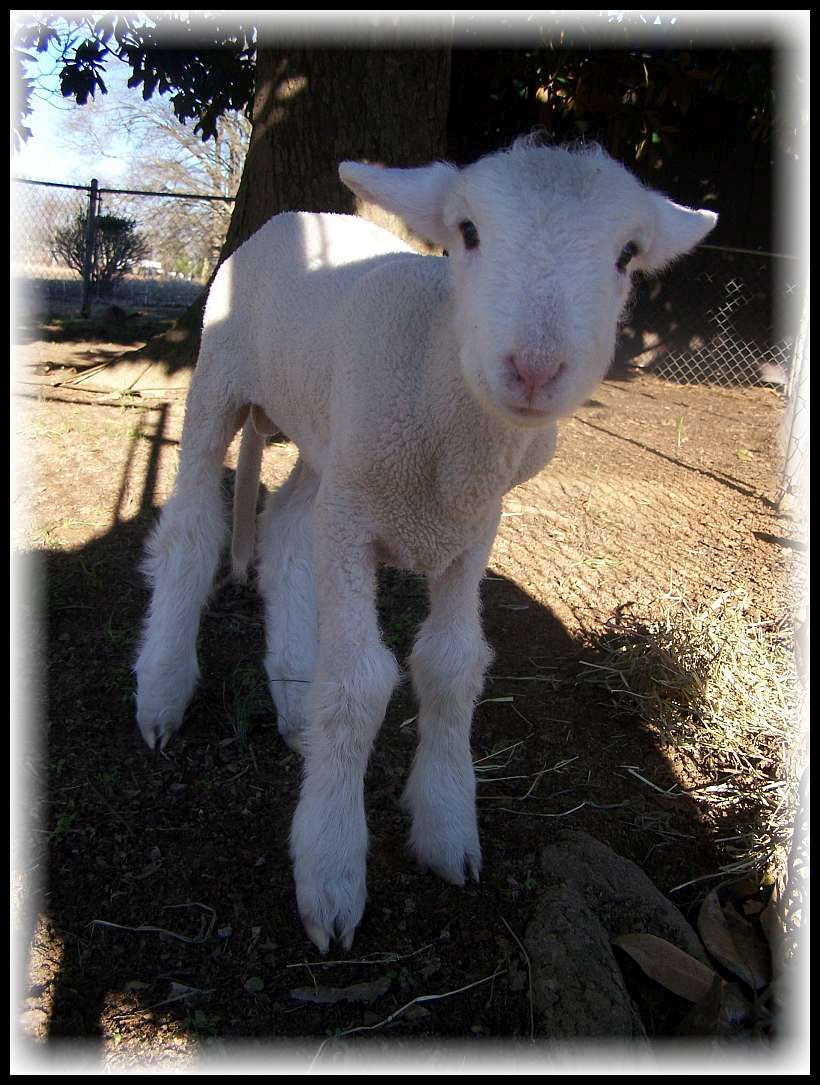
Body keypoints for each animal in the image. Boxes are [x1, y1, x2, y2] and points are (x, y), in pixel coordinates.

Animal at [135, 136, 717, 953]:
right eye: (467, 231)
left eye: (627, 254)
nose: (535, 368)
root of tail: (292, 216)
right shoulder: (353, 523)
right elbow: (357, 686)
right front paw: (332, 870)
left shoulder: (471, 530)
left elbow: (450, 665)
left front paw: (447, 826)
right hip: (219, 382)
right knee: (191, 530)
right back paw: (161, 692)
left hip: (327, 443)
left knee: (285, 528)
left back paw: (291, 696)